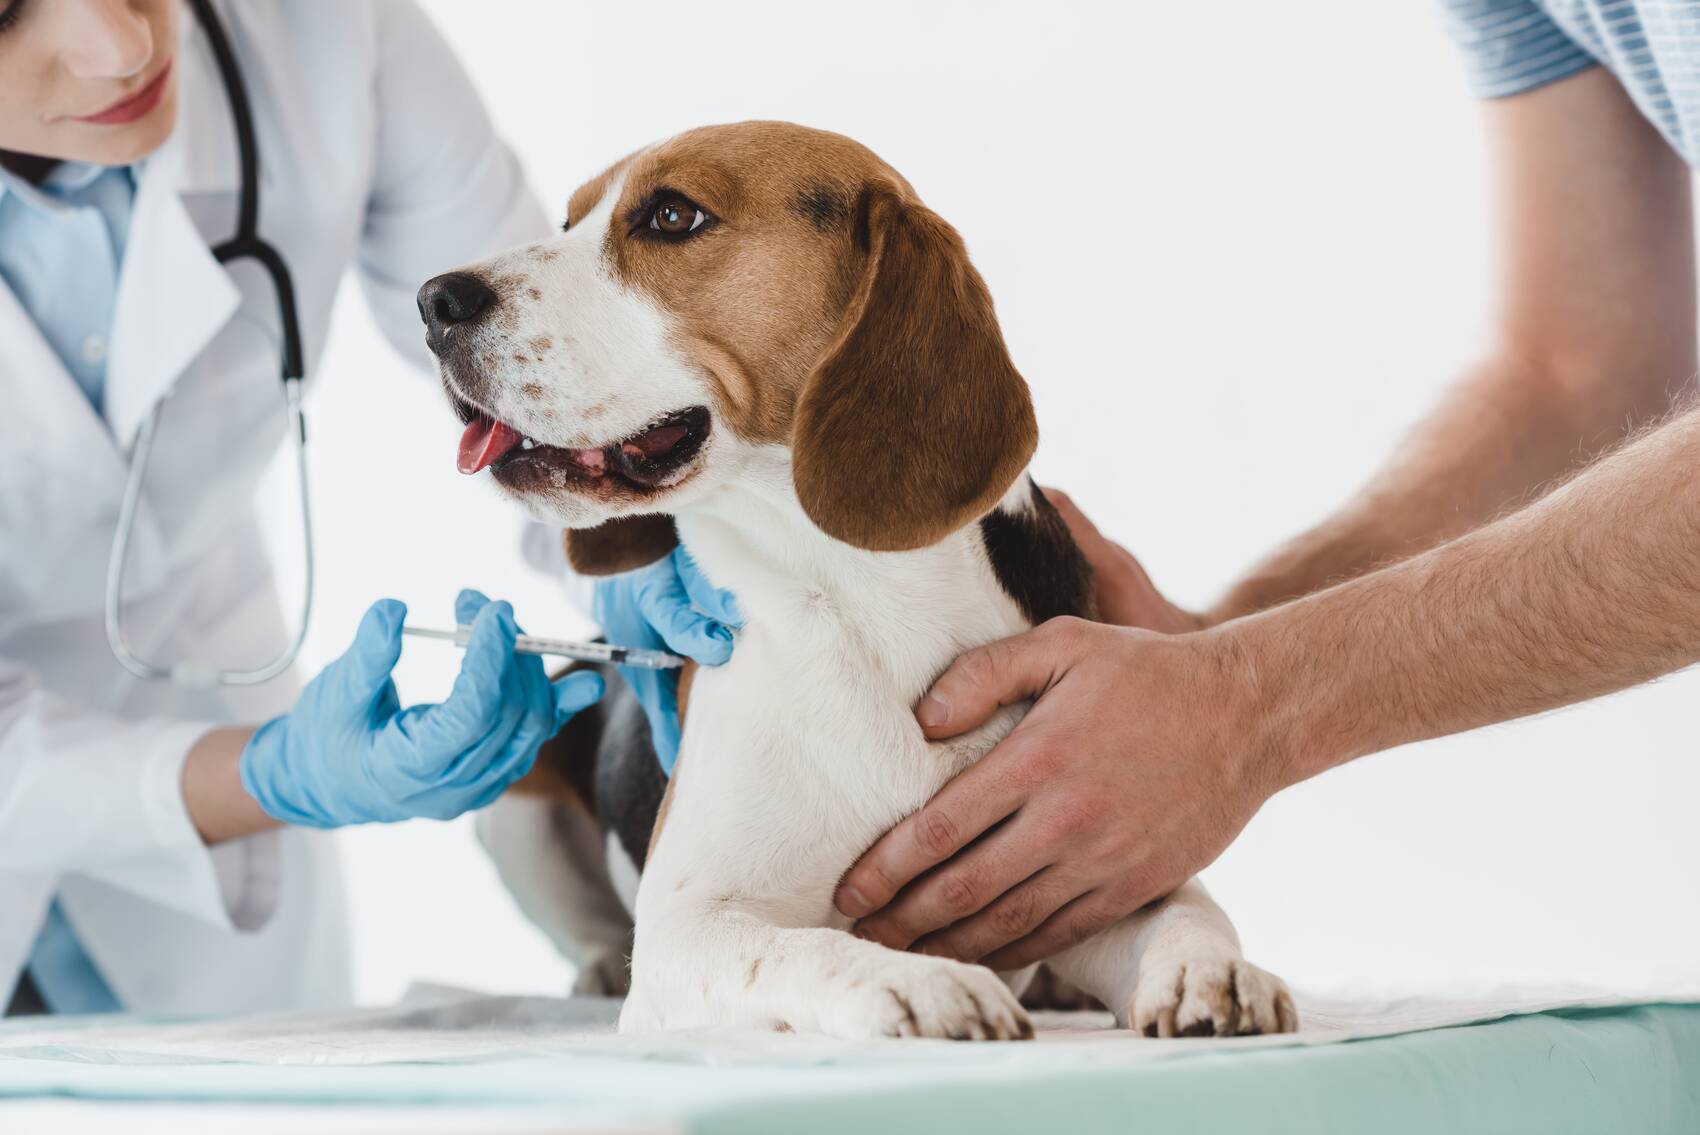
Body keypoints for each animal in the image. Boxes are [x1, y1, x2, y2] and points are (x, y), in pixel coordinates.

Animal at [418, 122, 1292, 1039]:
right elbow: (806, 947)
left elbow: (1188, 912)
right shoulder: (686, 929)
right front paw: (922, 980)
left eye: (671, 215)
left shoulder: (1095, 854)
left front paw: (1212, 972)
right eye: (568, 220)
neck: (860, 608)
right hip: (515, 795)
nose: (435, 300)